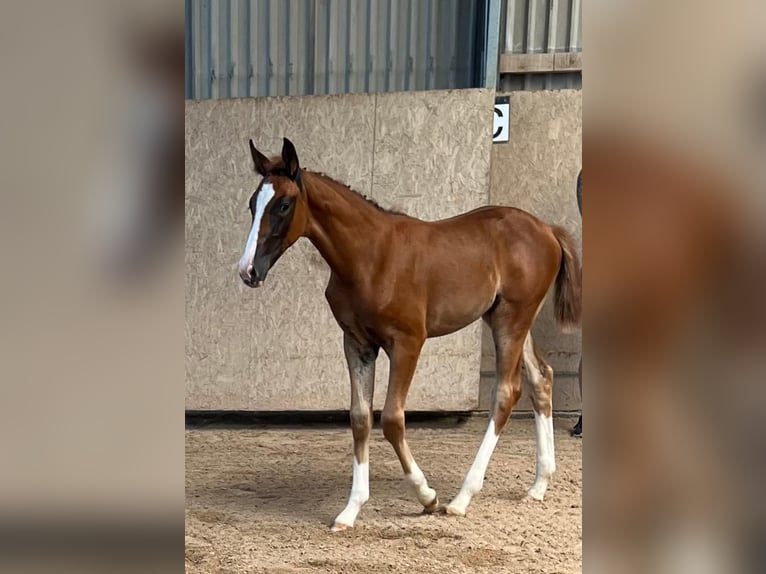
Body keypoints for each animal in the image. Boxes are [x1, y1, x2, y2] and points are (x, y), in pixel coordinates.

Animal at [238, 137, 582, 531]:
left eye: (283, 204)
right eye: (252, 203)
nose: (248, 270)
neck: (370, 257)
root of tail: (548, 229)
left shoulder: (408, 343)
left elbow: (391, 419)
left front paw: (427, 496)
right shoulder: (357, 344)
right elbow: (360, 418)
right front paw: (350, 510)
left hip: (511, 319)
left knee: (507, 393)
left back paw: (462, 498)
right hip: (508, 319)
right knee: (542, 378)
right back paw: (538, 485)